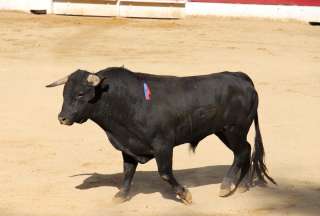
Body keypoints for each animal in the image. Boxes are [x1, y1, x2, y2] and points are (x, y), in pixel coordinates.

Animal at [45, 66, 276, 203]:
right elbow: (128, 171)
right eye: (64, 93)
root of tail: (240, 77)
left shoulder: (163, 145)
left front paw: (185, 194)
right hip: (224, 131)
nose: (62, 118)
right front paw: (121, 195)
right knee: (244, 151)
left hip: (234, 129)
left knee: (243, 152)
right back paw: (240, 186)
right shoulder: (129, 145)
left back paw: (227, 186)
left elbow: (165, 173)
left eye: (80, 94)